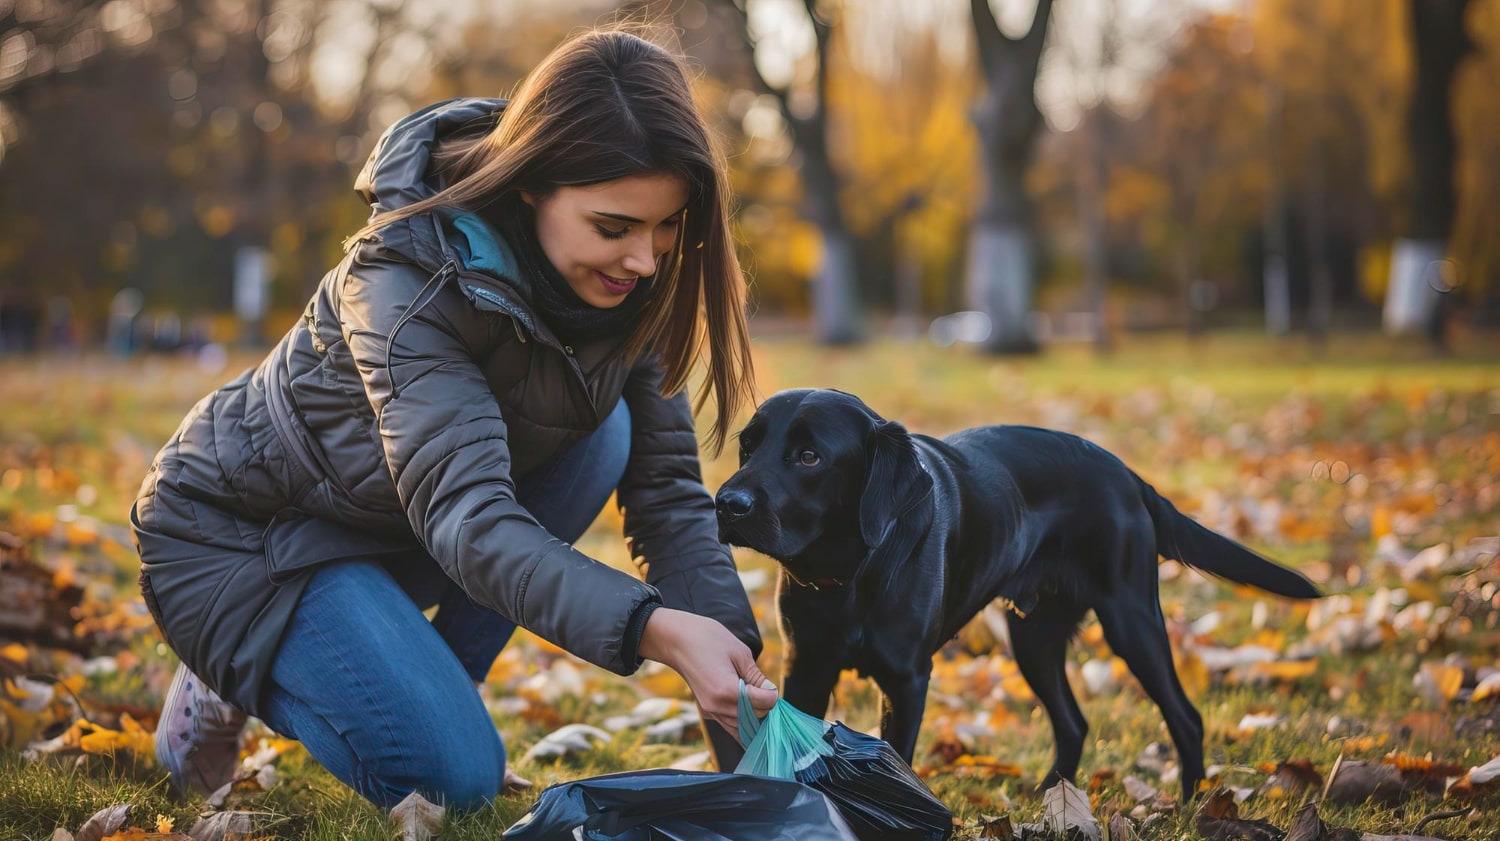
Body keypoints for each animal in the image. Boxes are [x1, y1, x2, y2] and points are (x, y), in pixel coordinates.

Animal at [720, 386, 1320, 791]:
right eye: (747, 448)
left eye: (809, 456)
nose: (726, 503)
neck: (848, 575)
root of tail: (1129, 476)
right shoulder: (805, 668)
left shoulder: (907, 680)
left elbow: (898, 757)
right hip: (1032, 638)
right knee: (1074, 723)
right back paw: (1055, 799)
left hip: (1131, 622)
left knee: (1186, 718)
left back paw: (1192, 804)